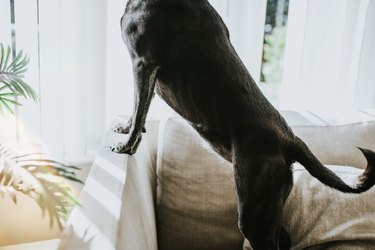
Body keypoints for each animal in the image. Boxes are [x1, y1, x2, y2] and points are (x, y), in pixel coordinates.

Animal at [111, 0, 375, 249]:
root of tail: (289, 140)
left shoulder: (143, 63)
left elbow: (139, 108)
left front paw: (127, 145)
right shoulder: (148, 73)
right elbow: (138, 108)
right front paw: (125, 129)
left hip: (253, 213)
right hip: (271, 206)